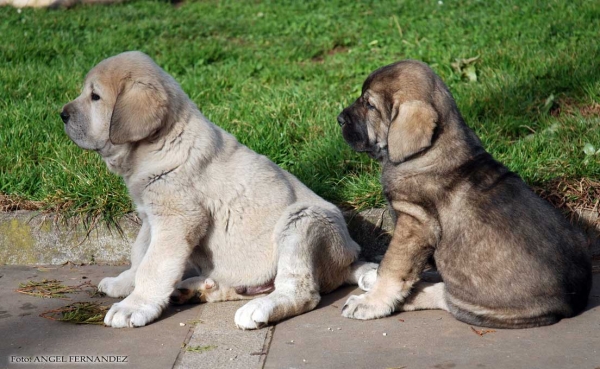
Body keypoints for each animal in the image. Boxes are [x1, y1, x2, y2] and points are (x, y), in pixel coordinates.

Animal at [338, 60, 592, 328]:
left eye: (370, 105)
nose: (339, 119)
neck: (431, 149)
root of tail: (575, 299)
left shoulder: (414, 222)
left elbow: (393, 266)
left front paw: (371, 303)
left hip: (478, 302)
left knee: (444, 295)